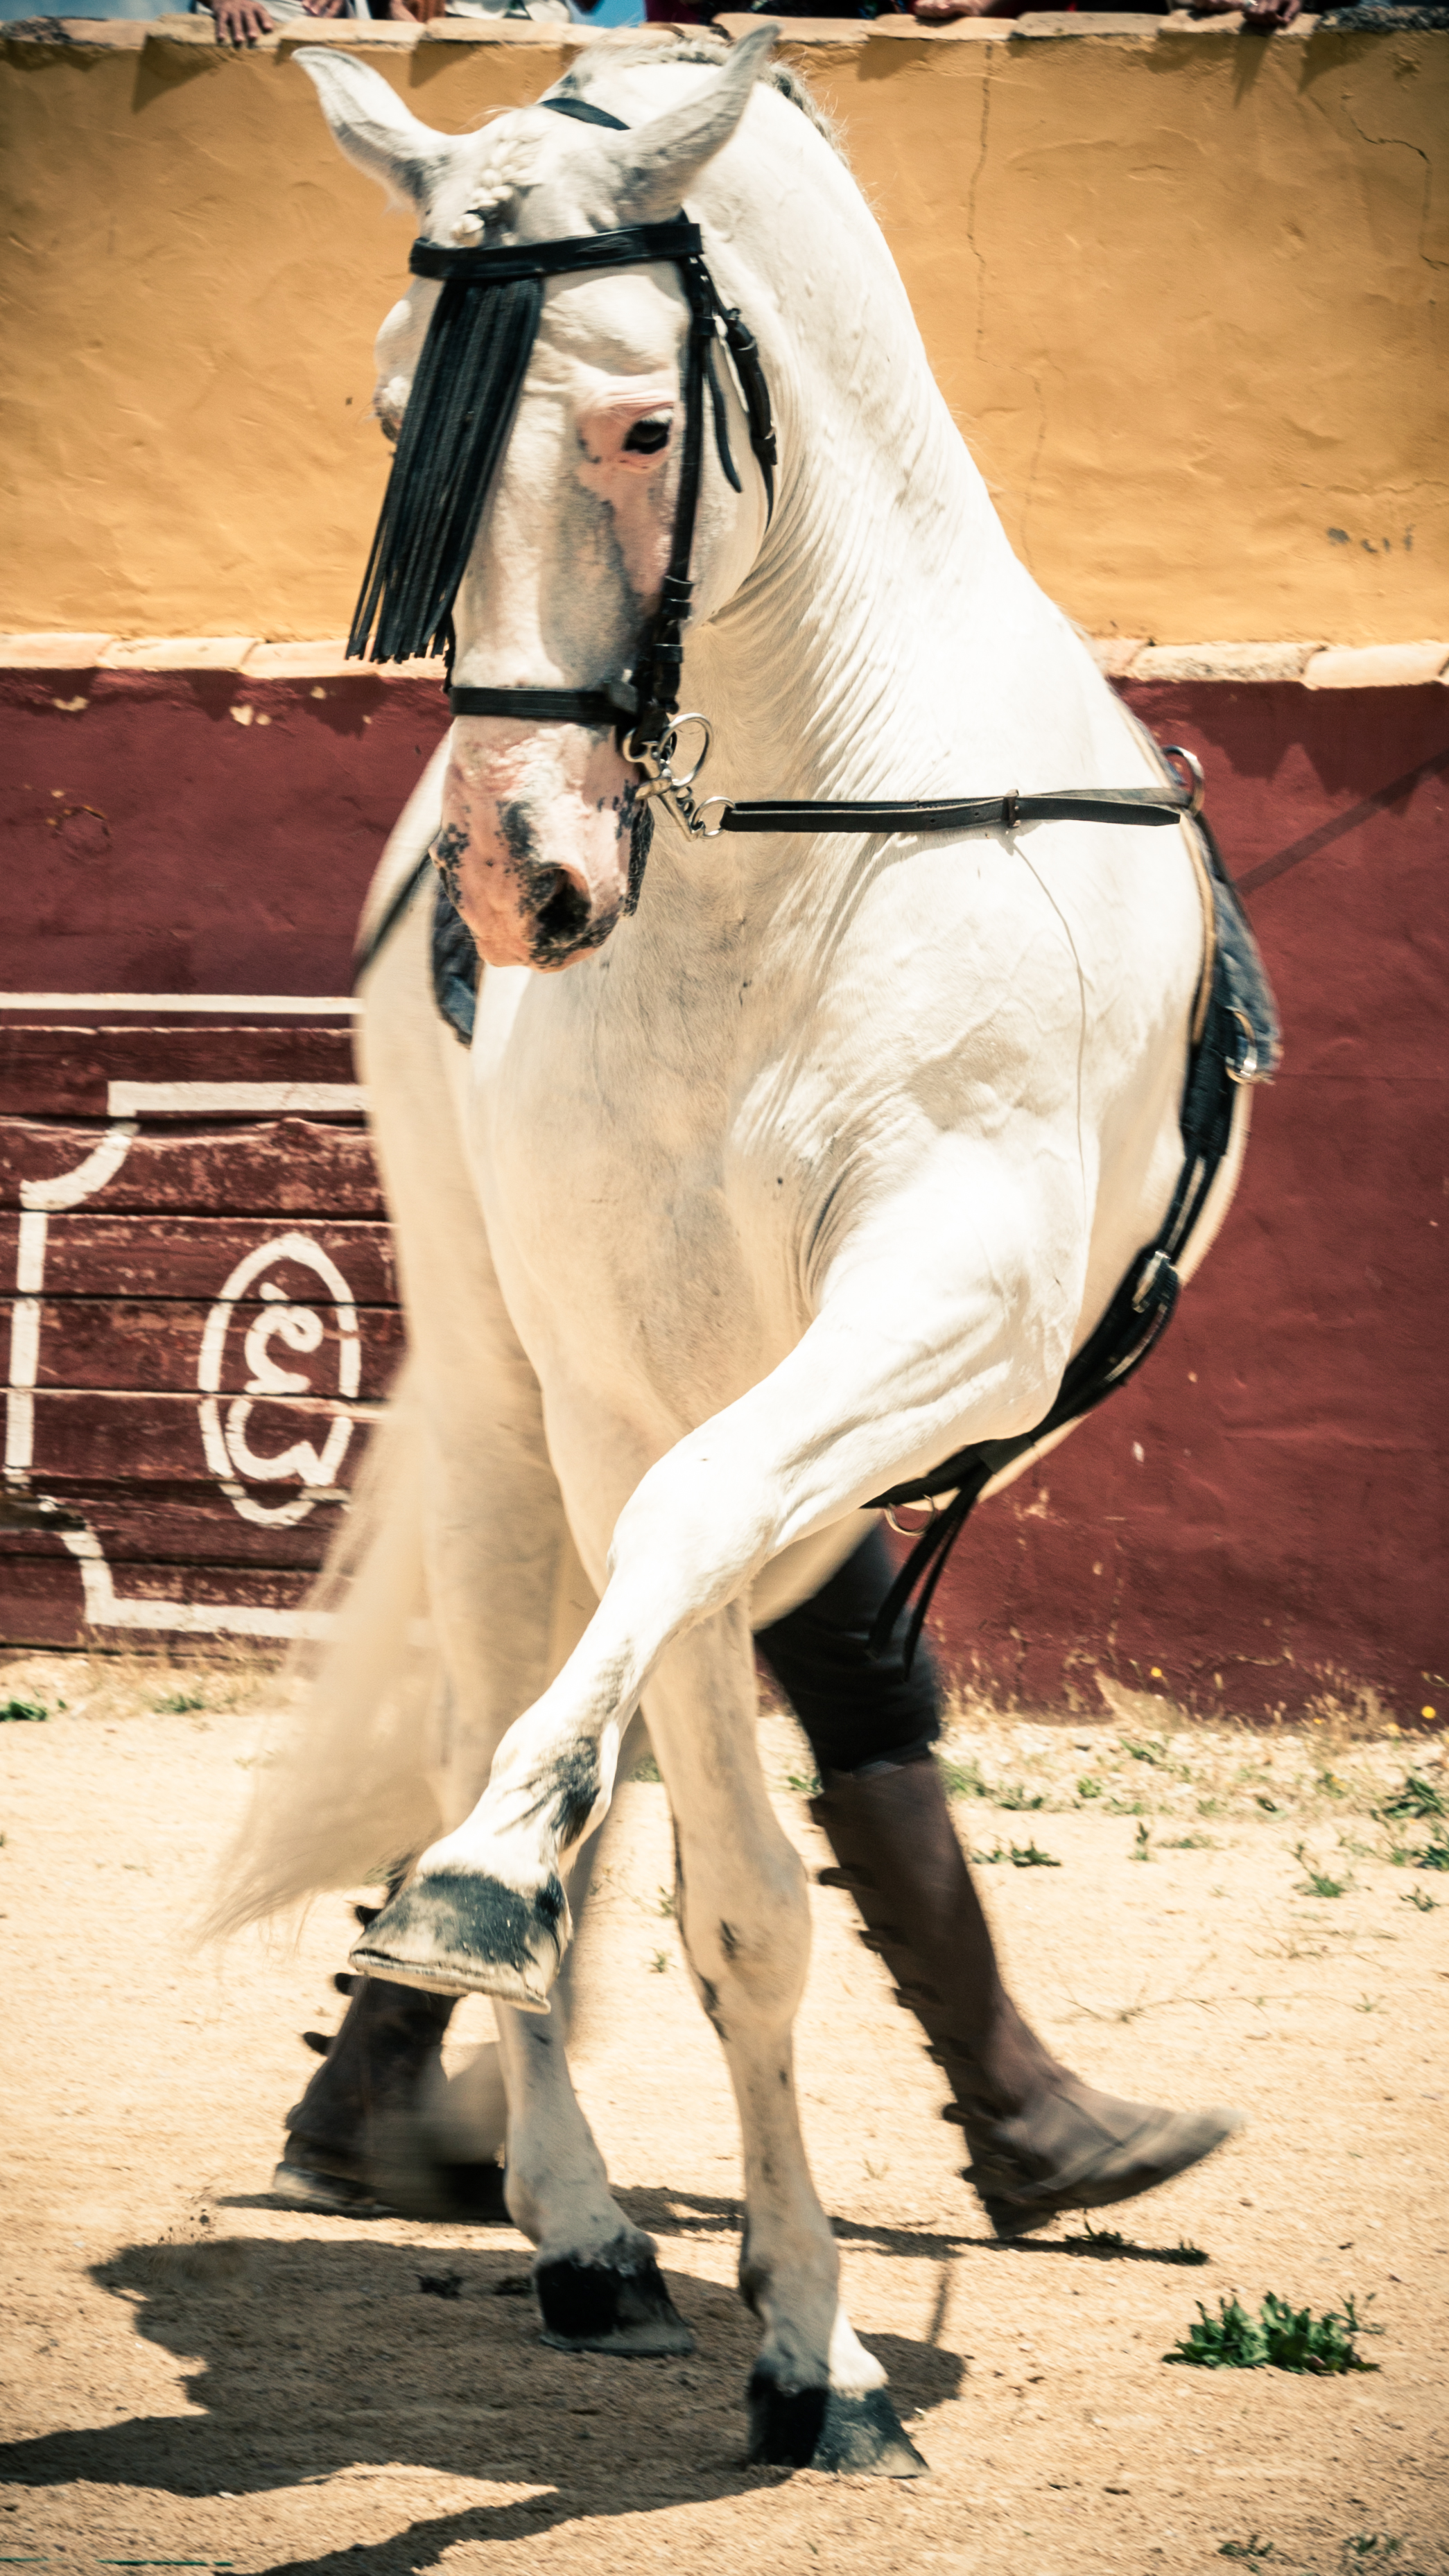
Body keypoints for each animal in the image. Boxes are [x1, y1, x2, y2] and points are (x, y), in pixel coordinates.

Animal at [213, 25, 1274, 2476]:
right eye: (391, 413)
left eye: (633, 422)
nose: (518, 887)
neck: (800, 834)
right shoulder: (621, 1392)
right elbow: (727, 1891)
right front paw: (796, 2335)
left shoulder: (939, 1313)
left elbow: (718, 1770)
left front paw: (812, 2343)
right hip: (501, 1408)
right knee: (516, 1688)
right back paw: (563, 2202)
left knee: (745, 1666)